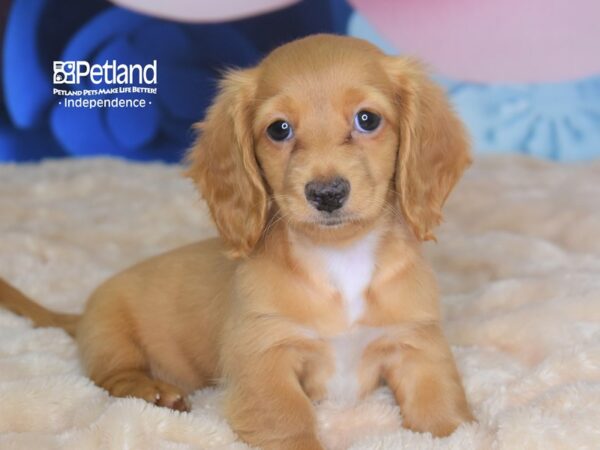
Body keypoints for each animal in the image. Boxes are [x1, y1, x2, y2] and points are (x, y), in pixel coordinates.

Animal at [2, 35, 476, 450]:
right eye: (279, 129)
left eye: (368, 119)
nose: (326, 194)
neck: (341, 260)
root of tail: (80, 315)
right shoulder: (264, 356)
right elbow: (288, 422)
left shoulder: (417, 347)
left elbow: (444, 413)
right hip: (111, 332)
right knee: (113, 377)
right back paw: (152, 390)